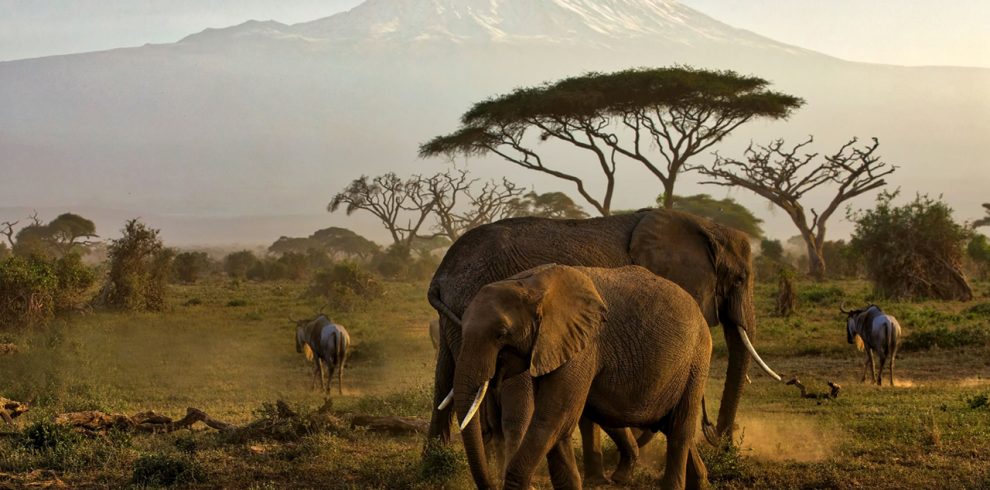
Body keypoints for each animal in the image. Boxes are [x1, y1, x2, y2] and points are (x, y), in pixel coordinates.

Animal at [454, 266, 716, 488]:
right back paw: (701, 482)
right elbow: (559, 428)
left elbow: (552, 420)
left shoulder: (583, 346)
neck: (530, 283)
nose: (489, 484)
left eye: (501, 334)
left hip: (697, 359)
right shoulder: (552, 347)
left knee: (680, 430)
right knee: (669, 425)